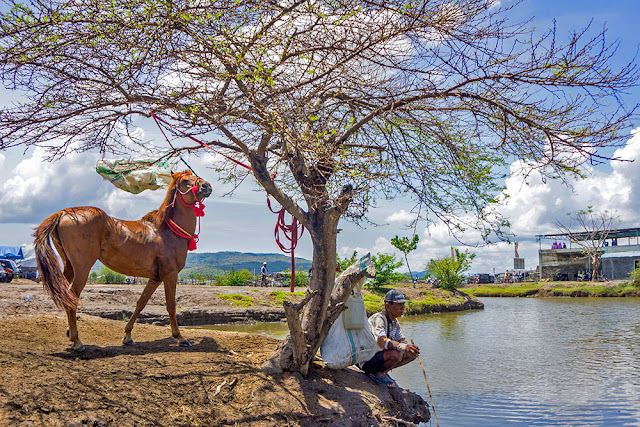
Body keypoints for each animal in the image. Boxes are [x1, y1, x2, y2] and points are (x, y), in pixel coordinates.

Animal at [34, 170, 212, 352]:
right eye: (185, 181)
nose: (206, 186)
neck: (166, 232)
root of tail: (64, 213)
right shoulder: (170, 275)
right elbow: (171, 306)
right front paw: (180, 337)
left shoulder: (155, 278)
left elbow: (141, 303)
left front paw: (127, 335)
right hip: (82, 268)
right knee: (72, 296)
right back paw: (77, 341)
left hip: (69, 267)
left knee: (65, 295)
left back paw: (70, 332)